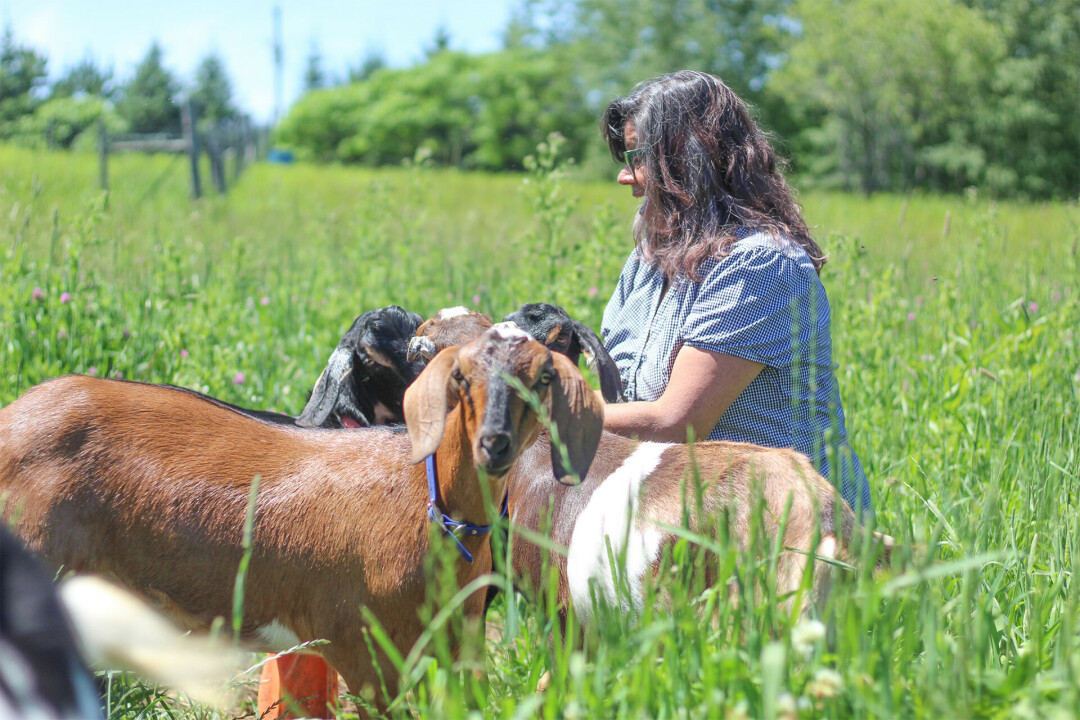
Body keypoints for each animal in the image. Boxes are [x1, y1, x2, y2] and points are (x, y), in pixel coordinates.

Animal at [0, 325, 609, 716]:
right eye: (459, 376)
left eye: (544, 377)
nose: (494, 444)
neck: (424, 502)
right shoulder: (364, 651)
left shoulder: (456, 646)